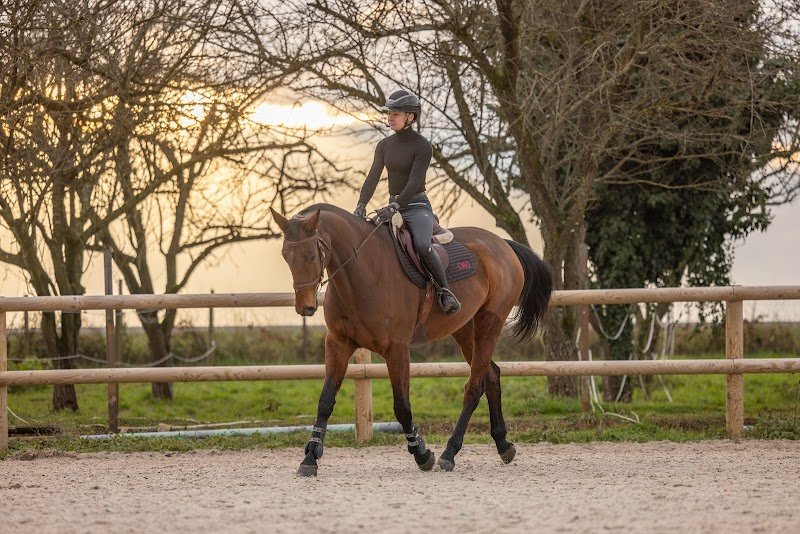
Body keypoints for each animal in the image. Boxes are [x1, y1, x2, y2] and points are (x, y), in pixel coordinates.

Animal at [271, 204, 552, 476]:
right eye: (285, 255)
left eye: (311, 255)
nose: (305, 307)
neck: (364, 272)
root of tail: (502, 244)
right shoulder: (338, 344)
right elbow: (325, 401)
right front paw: (310, 458)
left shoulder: (396, 349)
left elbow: (402, 407)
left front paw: (422, 454)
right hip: (464, 328)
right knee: (491, 375)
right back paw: (503, 445)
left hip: (489, 323)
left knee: (474, 387)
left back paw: (450, 452)